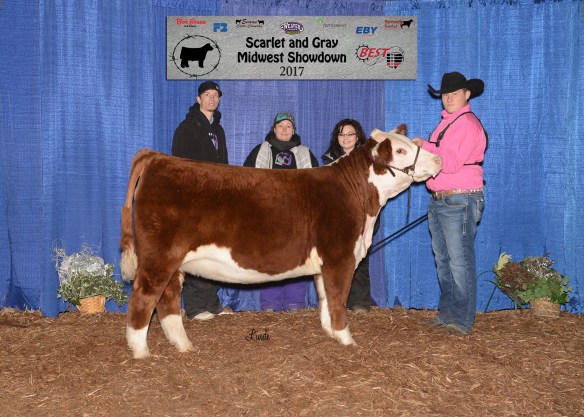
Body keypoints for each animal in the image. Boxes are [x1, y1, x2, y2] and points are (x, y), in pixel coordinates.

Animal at [120, 125, 442, 359]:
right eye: (400, 150)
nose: (438, 159)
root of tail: (158, 158)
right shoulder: (340, 255)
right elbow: (339, 298)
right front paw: (347, 340)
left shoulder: (325, 263)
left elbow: (326, 298)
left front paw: (330, 333)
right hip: (159, 257)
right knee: (144, 297)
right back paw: (142, 352)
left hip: (173, 262)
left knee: (168, 301)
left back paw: (183, 346)